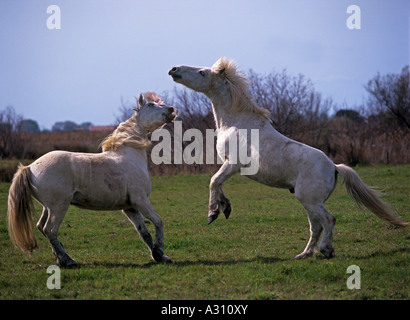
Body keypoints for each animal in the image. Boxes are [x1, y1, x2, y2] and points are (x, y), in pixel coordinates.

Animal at [6, 92, 176, 268]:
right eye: (150, 105)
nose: (171, 110)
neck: (130, 154)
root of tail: (30, 167)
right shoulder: (140, 200)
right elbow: (158, 222)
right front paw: (160, 251)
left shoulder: (130, 207)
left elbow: (144, 233)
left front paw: (159, 256)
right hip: (59, 207)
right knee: (50, 230)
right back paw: (69, 261)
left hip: (48, 207)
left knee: (41, 227)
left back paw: (61, 259)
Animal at [168, 57, 408, 260]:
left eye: (201, 72)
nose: (174, 69)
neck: (236, 122)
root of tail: (334, 166)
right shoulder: (230, 165)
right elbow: (219, 184)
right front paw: (225, 208)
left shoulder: (233, 164)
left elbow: (214, 181)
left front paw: (213, 213)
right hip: (309, 202)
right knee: (316, 226)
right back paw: (304, 254)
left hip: (309, 200)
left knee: (328, 220)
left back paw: (326, 250)